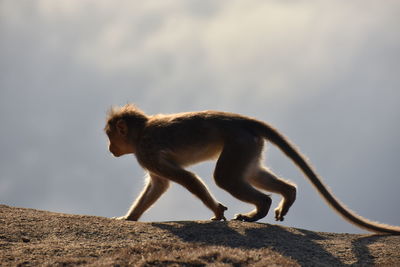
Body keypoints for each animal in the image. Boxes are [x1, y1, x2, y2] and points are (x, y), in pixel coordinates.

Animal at [104, 103, 400, 236]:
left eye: (110, 136)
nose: (109, 149)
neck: (141, 131)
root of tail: (240, 120)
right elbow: (159, 184)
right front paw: (129, 218)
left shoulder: (146, 152)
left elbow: (184, 178)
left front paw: (216, 211)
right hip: (250, 145)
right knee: (250, 173)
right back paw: (287, 194)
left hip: (238, 141)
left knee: (225, 177)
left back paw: (261, 208)